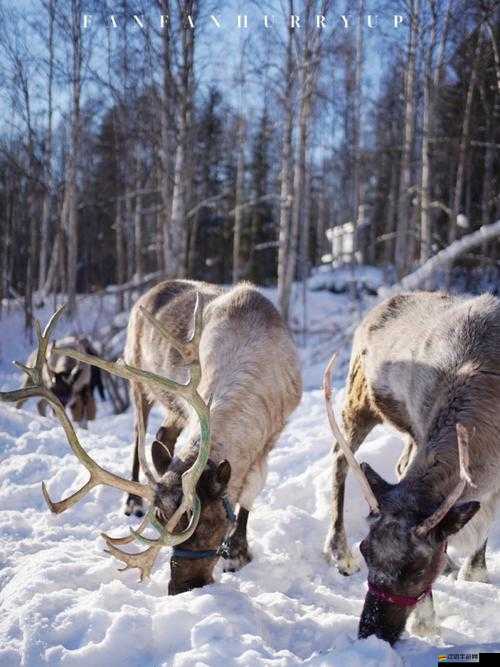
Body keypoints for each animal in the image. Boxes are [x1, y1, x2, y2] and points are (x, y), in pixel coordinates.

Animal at [0, 280, 302, 595]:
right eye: (161, 518)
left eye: (208, 522)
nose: (182, 587)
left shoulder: (273, 433)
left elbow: (251, 493)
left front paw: (237, 552)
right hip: (140, 383)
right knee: (140, 435)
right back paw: (132, 501)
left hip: (172, 404)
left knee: (162, 436)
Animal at [322, 291, 500, 644]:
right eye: (365, 550)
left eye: (419, 568)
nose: (372, 632)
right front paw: (427, 623)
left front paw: (474, 574)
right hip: (360, 401)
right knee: (339, 458)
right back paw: (338, 551)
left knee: (396, 463)